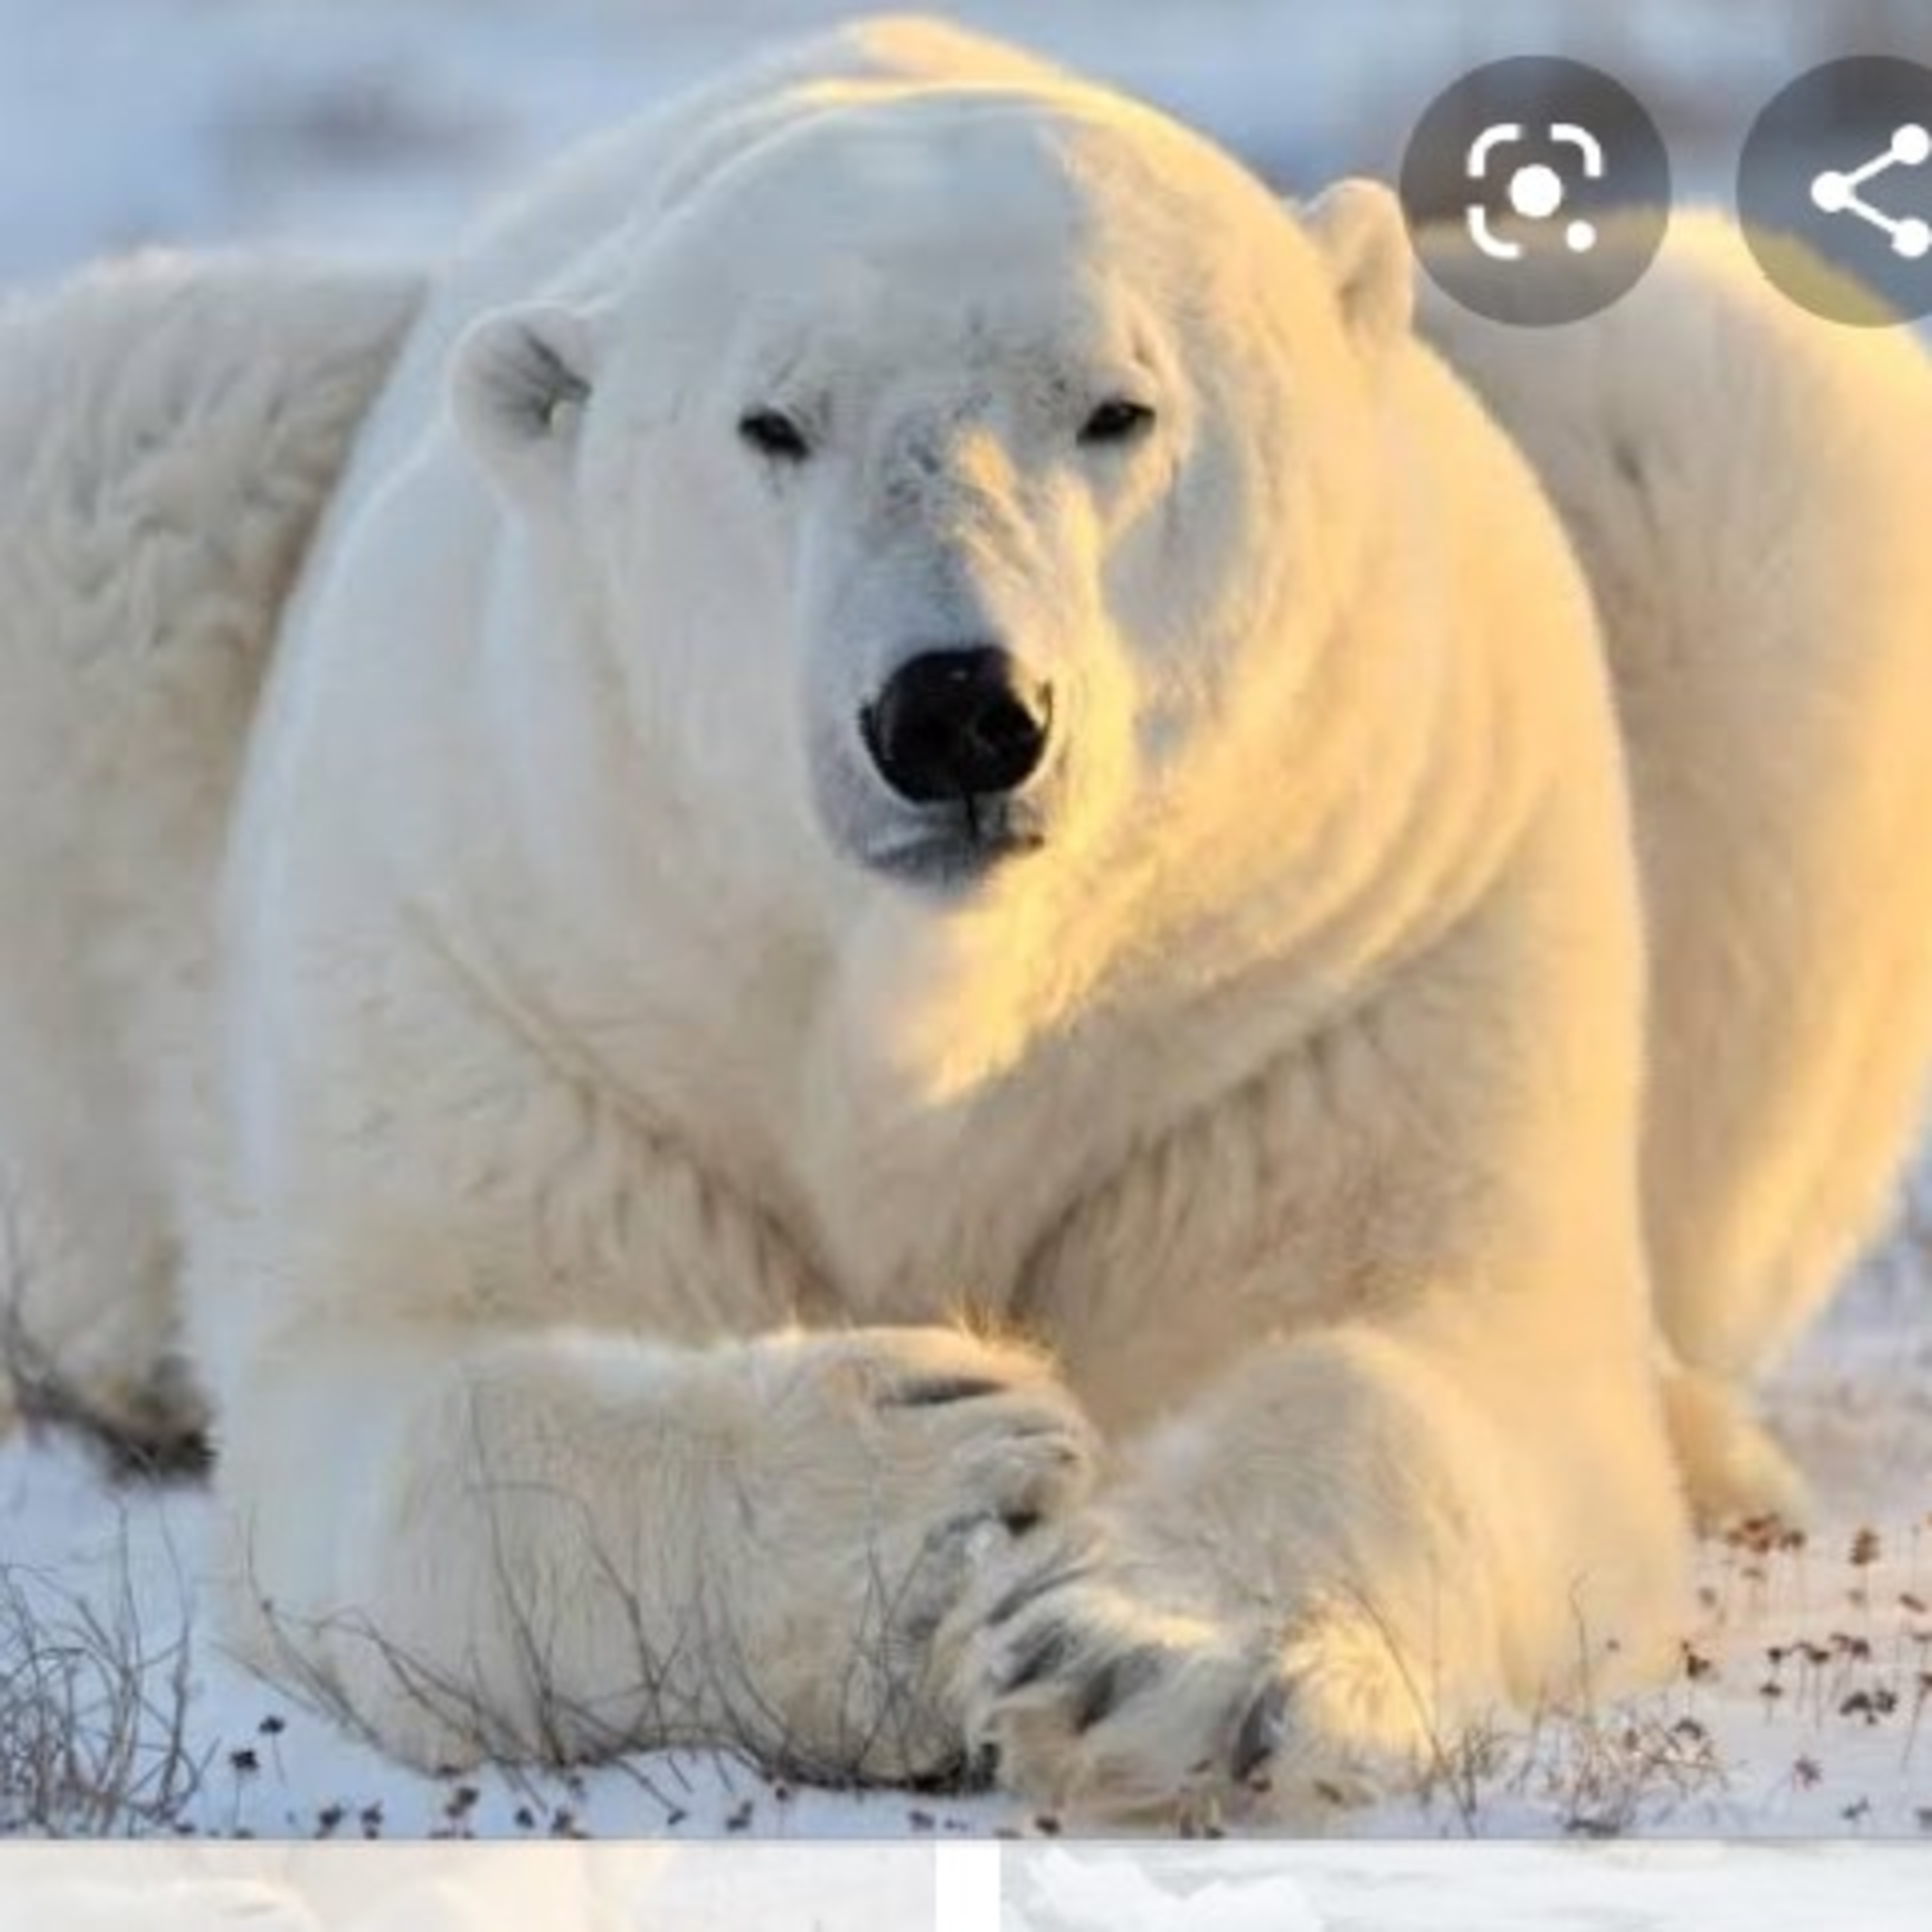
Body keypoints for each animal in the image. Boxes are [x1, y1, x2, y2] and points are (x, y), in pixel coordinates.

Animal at [0, 15, 1926, 1822]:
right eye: (772, 423)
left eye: (1118, 408)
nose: (954, 712)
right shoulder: (507, 950)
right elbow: (420, 1394)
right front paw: (938, 1480)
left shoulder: (1360, 948)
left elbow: (1423, 1343)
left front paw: (1156, 1662)